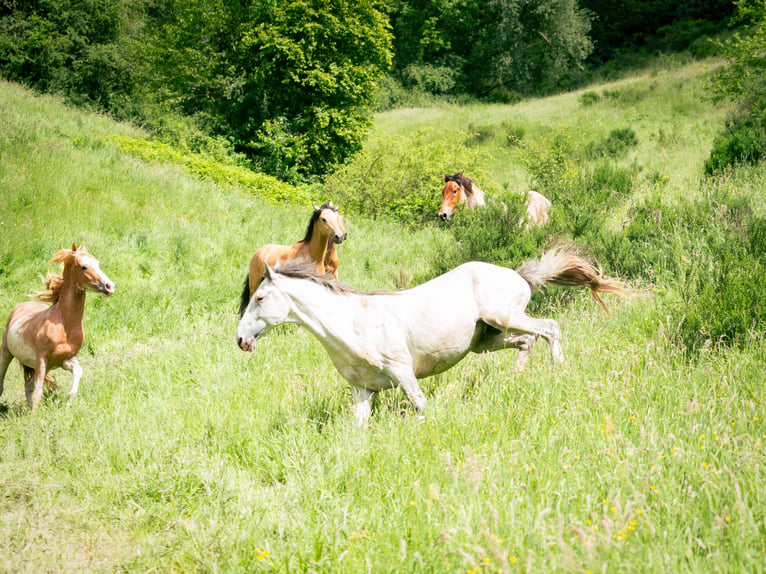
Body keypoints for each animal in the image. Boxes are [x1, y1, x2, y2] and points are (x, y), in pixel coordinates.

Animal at [0, 245, 115, 412]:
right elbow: (38, 391)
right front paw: (35, 417)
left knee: (27, 386)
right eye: (84, 267)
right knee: (4, 384)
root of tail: (20, 307)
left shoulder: (65, 360)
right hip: (6, 352)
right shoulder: (42, 359)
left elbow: (78, 373)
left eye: (97, 264)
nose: (109, 286)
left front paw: (68, 403)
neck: (65, 326)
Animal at [238, 249, 624, 428]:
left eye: (260, 298)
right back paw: (517, 381)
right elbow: (359, 427)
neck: (353, 323)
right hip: (486, 340)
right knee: (527, 341)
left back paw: (560, 373)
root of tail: (518, 274)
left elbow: (422, 406)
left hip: (507, 317)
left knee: (550, 328)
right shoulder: (362, 389)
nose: (241, 340)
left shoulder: (403, 373)